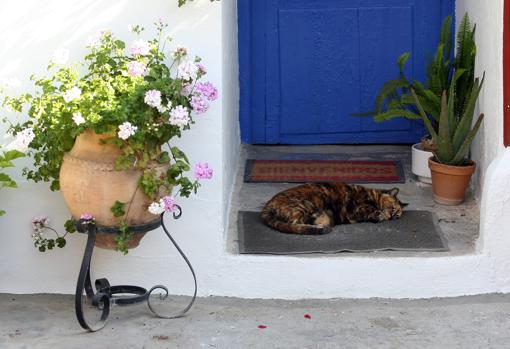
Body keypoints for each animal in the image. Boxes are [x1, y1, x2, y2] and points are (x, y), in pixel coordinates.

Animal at [260, 182, 408, 234]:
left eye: (396, 216)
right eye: (393, 208)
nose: (391, 216)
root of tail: (269, 204)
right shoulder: (356, 208)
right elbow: (369, 210)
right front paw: (379, 215)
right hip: (303, 205)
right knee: (295, 223)